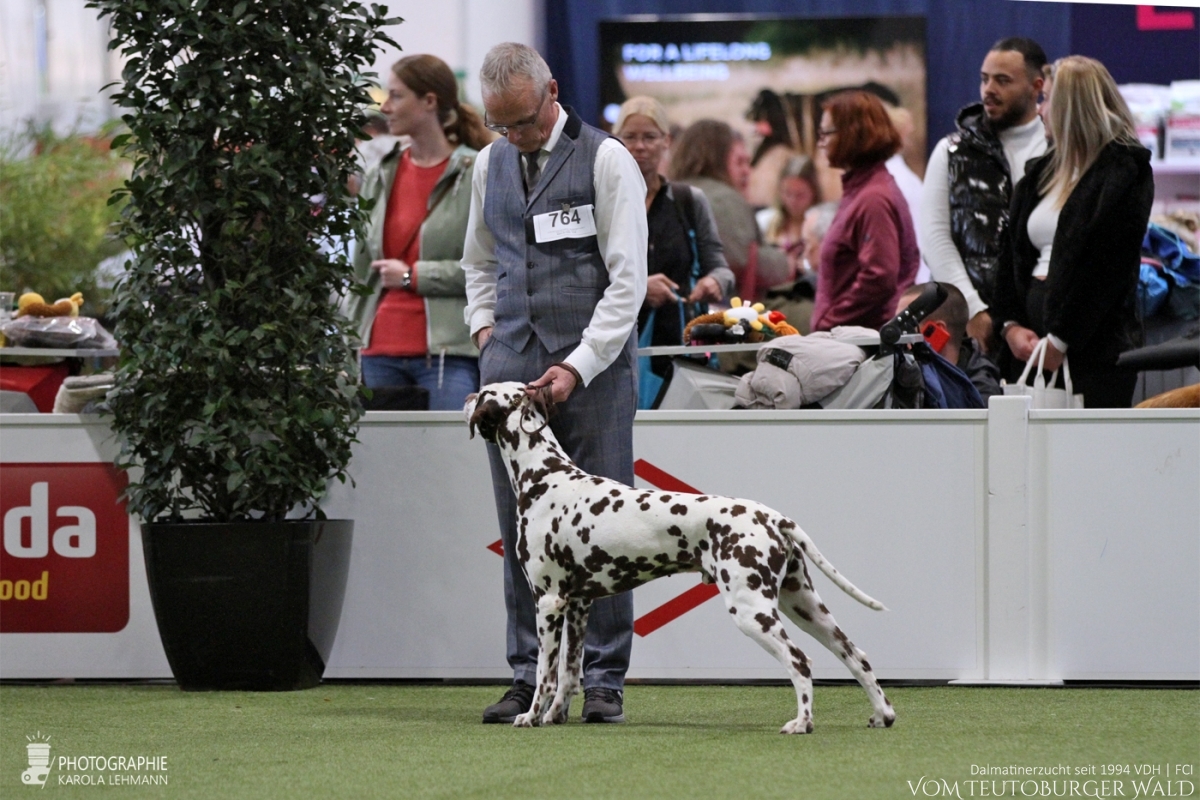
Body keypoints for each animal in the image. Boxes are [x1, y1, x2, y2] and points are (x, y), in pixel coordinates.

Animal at [463, 383, 897, 734]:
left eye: (483, 393)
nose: (466, 398)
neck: (545, 477)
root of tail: (773, 516)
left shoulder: (549, 602)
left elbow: (545, 674)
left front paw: (531, 716)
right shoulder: (579, 604)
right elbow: (569, 675)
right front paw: (555, 716)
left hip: (753, 611)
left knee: (801, 662)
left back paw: (802, 723)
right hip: (803, 606)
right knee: (856, 655)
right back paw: (882, 714)